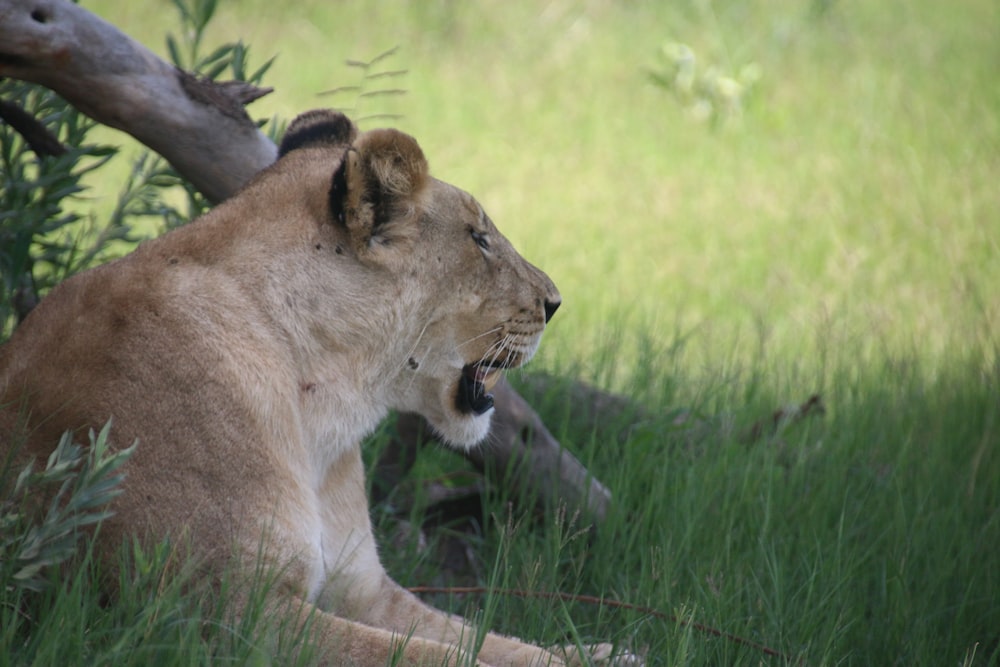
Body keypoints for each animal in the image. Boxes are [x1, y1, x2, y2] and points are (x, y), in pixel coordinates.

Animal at [0, 112, 624, 664]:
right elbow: (437, 656)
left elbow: (487, 639)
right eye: (479, 239)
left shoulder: (364, 589)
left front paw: (601, 652)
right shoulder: (222, 614)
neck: (322, 404)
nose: (554, 303)